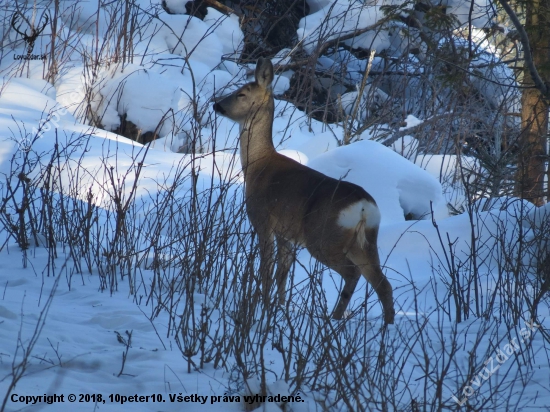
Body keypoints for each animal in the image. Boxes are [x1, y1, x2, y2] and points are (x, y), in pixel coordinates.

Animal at [213, 58, 394, 324]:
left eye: (242, 93)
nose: (216, 105)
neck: (257, 165)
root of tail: (363, 207)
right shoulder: (286, 233)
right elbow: (282, 273)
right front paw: (279, 308)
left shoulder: (263, 220)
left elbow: (267, 271)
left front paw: (262, 308)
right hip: (367, 241)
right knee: (382, 283)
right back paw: (385, 325)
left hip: (321, 237)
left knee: (352, 274)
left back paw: (334, 318)